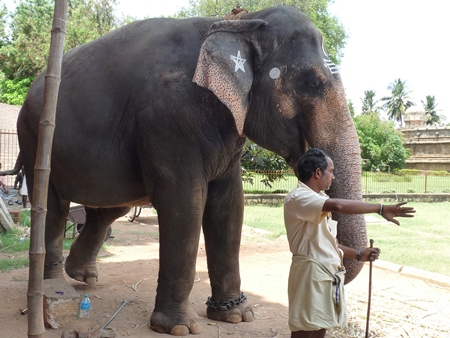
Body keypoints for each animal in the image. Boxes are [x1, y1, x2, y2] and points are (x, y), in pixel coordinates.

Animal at [15, 4, 368, 336]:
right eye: (312, 82)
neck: (237, 22)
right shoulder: (168, 118)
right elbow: (186, 203)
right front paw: (178, 327)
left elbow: (229, 207)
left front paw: (236, 315)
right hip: (34, 136)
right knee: (53, 207)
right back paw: (53, 288)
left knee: (110, 208)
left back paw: (82, 275)